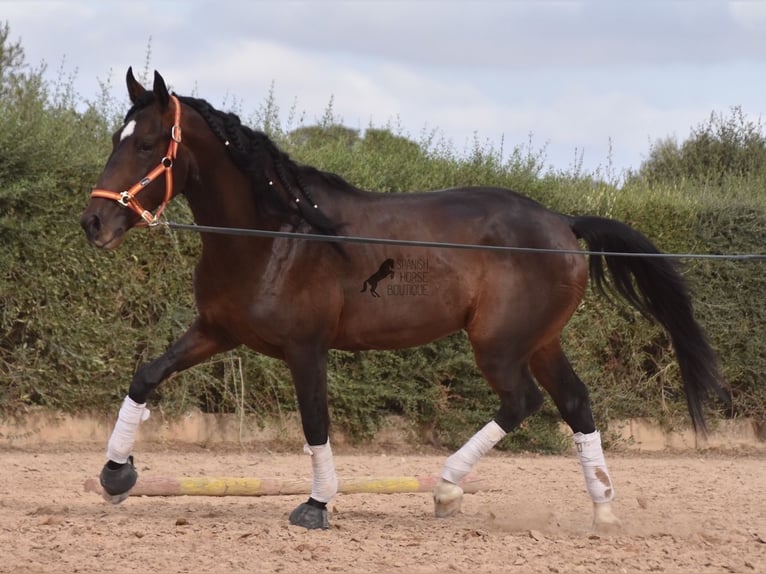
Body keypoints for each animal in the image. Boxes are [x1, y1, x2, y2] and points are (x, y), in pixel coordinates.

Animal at [81, 70, 728, 532]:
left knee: (524, 401)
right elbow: (146, 376)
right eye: (116, 140)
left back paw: (446, 488)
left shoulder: (305, 348)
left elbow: (315, 421)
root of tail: (563, 223)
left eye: (146, 145)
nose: (93, 222)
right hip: (540, 341)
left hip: (498, 345)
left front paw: (316, 505)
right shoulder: (218, 330)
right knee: (575, 402)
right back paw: (603, 510)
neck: (274, 234)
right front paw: (116, 475)